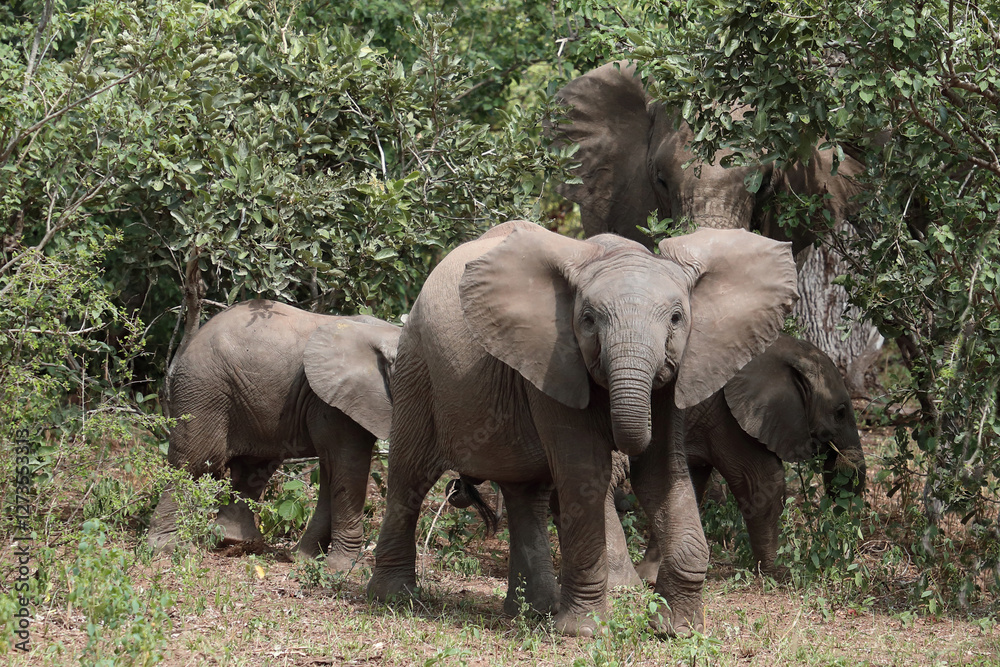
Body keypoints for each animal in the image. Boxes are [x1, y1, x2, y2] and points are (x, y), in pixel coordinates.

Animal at [148, 299, 401, 571]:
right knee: (195, 462)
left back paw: (236, 542)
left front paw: (302, 558)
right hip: (204, 386)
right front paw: (344, 569)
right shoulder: (335, 402)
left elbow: (332, 470)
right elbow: (348, 464)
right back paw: (170, 548)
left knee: (254, 467)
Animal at [365, 220, 797, 636]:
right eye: (588, 321)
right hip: (417, 367)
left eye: (677, 318)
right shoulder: (555, 359)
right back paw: (394, 597)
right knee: (410, 475)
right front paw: (585, 632)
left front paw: (677, 630)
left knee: (525, 494)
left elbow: (661, 472)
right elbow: (585, 474)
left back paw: (533, 610)